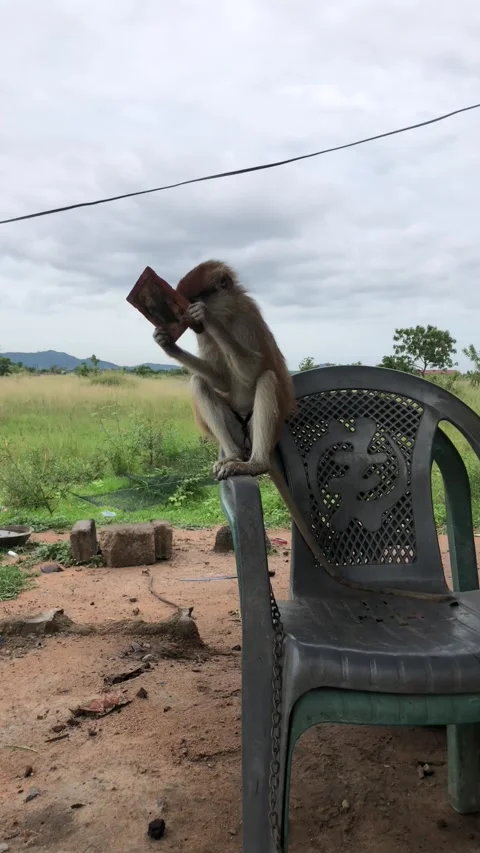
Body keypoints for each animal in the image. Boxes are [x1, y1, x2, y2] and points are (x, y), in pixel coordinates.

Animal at [153, 260, 454, 603]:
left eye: (192, 299)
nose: (187, 320)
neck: (228, 311)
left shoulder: (246, 318)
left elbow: (252, 369)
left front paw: (204, 318)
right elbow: (220, 379)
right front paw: (167, 342)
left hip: (259, 428)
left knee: (266, 379)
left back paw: (253, 463)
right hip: (237, 430)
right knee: (201, 383)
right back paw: (232, 457)